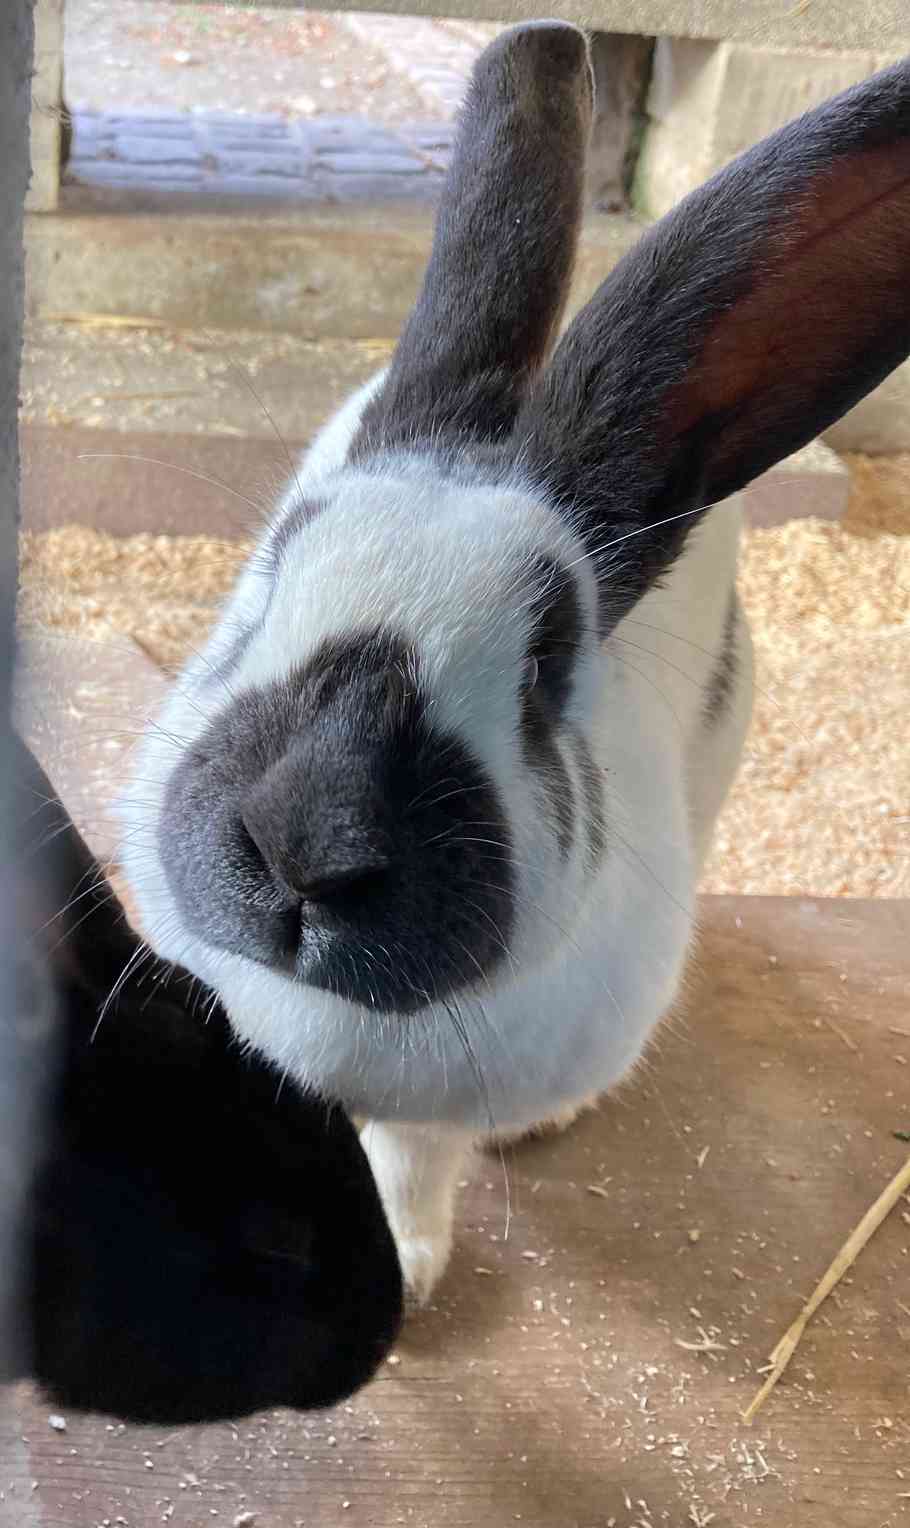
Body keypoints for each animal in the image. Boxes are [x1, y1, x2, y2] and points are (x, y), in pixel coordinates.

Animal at [117, 20, 910, 1301]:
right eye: (275, 566)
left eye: (548, 660)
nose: (303, 845)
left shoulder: (439, 1110)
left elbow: (412, 1155)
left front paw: (404, 1272)